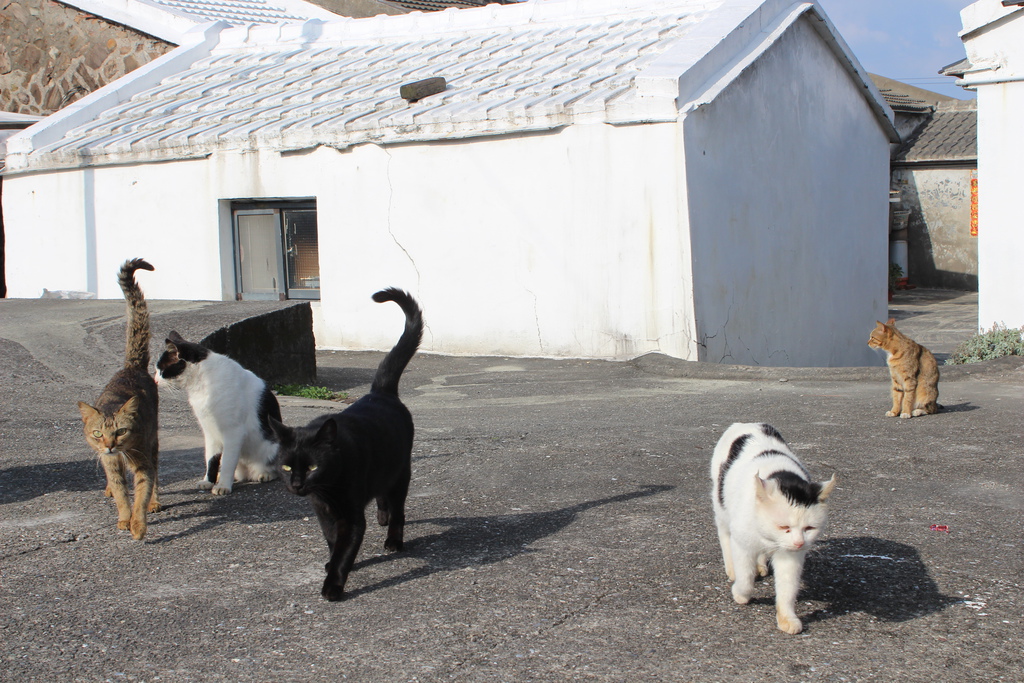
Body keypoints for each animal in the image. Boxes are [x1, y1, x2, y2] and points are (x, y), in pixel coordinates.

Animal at [76, 259, 159, 540]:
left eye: (121, 431)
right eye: (98, 433)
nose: (110, 445)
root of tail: (131, 367)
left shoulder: (142, 459)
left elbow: (141, 494)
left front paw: (138, 524)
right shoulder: (109, 462)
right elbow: (122, 493)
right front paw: (124, 517)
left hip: (153, 440)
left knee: (156, 472)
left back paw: (155, 501)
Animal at [270, 288, 421, 602]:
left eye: (313, 467)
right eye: (286, 467)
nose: (297, 484)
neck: (326, 490)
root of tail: (381, 392)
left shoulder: (350, 517)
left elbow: (344, 551)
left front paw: (333, 586)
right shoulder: (322, 512)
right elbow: (331, 541)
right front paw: (330, 562)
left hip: (401, 471)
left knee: (399, 507)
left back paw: (393, 539)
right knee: (383, 495)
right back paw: (382, 516)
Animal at [708, 421, 835, 634]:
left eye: (809, 528)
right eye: (784, 526)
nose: (799, 543)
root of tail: (745, 423)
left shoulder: (789, 555)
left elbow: (787, 588)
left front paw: (787, 619)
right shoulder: (742, 543)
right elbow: (745, 577)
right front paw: (740, 594)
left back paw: (761, 566)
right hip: (722, 507)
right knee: (724, 535)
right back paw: (732, 569)